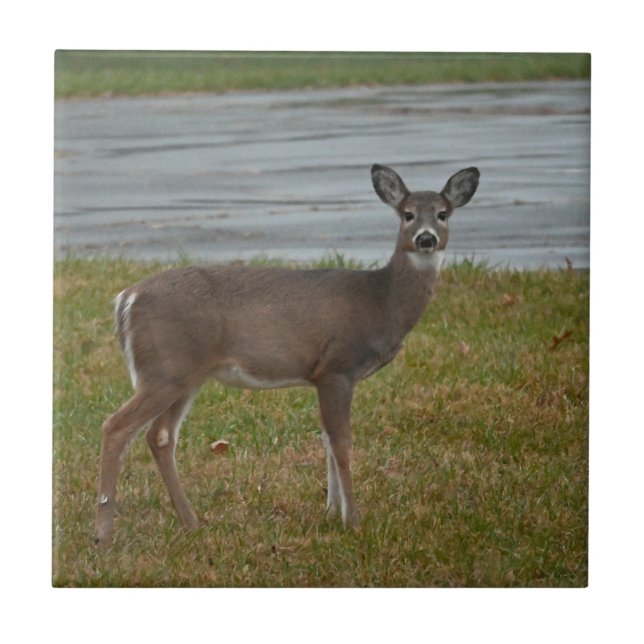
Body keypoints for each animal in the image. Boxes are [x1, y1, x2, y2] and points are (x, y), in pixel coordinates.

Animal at [94, 163, 480, 545]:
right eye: (408, 214)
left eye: (443, 214)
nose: (426, 239)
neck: (381, 301)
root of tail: (126, 299)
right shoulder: (337, 367)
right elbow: (341, 442)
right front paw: (353, 520)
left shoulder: (323, 377)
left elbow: (326, 440)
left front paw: (331, 512)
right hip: (165, 369)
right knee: (116, 426)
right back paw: (103, 534)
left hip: (184, 375)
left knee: (159, 436)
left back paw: (191, 522)